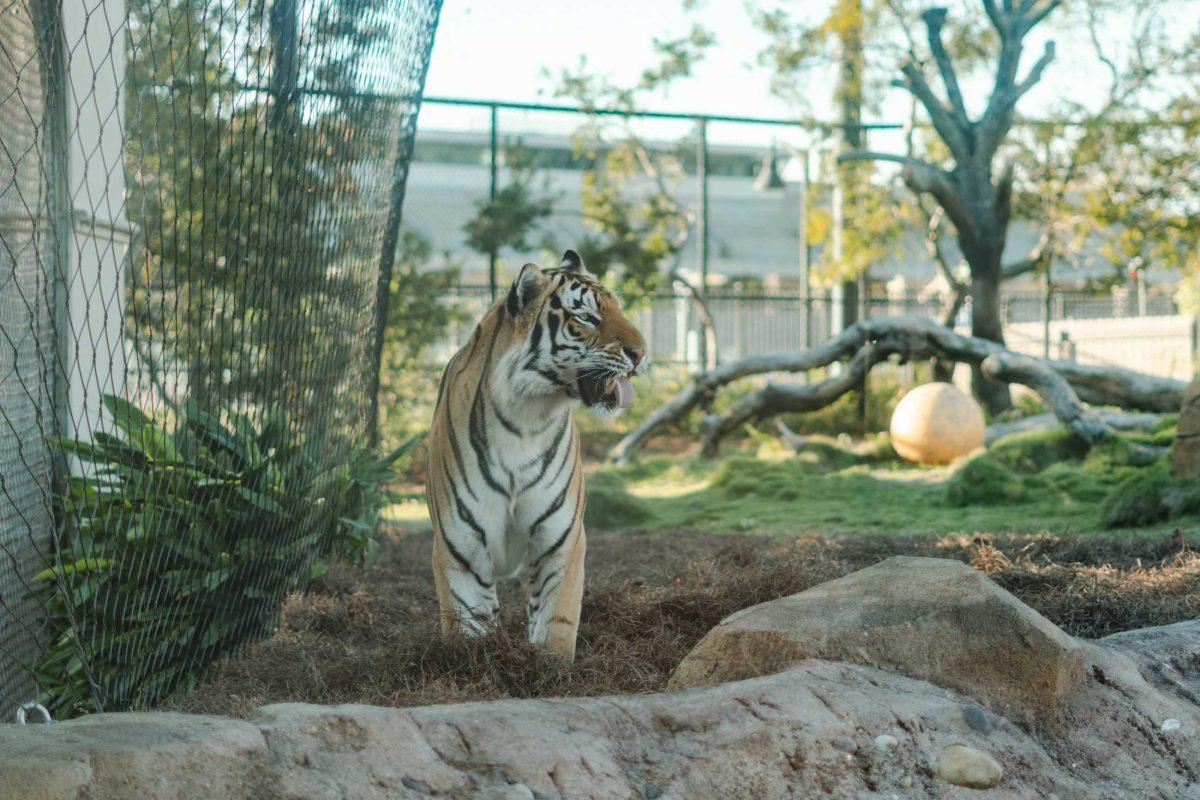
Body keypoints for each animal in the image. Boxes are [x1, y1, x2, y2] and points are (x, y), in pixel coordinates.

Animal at [422, 251, 648, 662]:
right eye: (586, 317)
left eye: (619, 308)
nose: (642, 353)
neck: (526, 418)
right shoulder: (460, 548)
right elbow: (467, 625)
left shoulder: (560, 540)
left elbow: (555, 623)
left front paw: (549, 669)